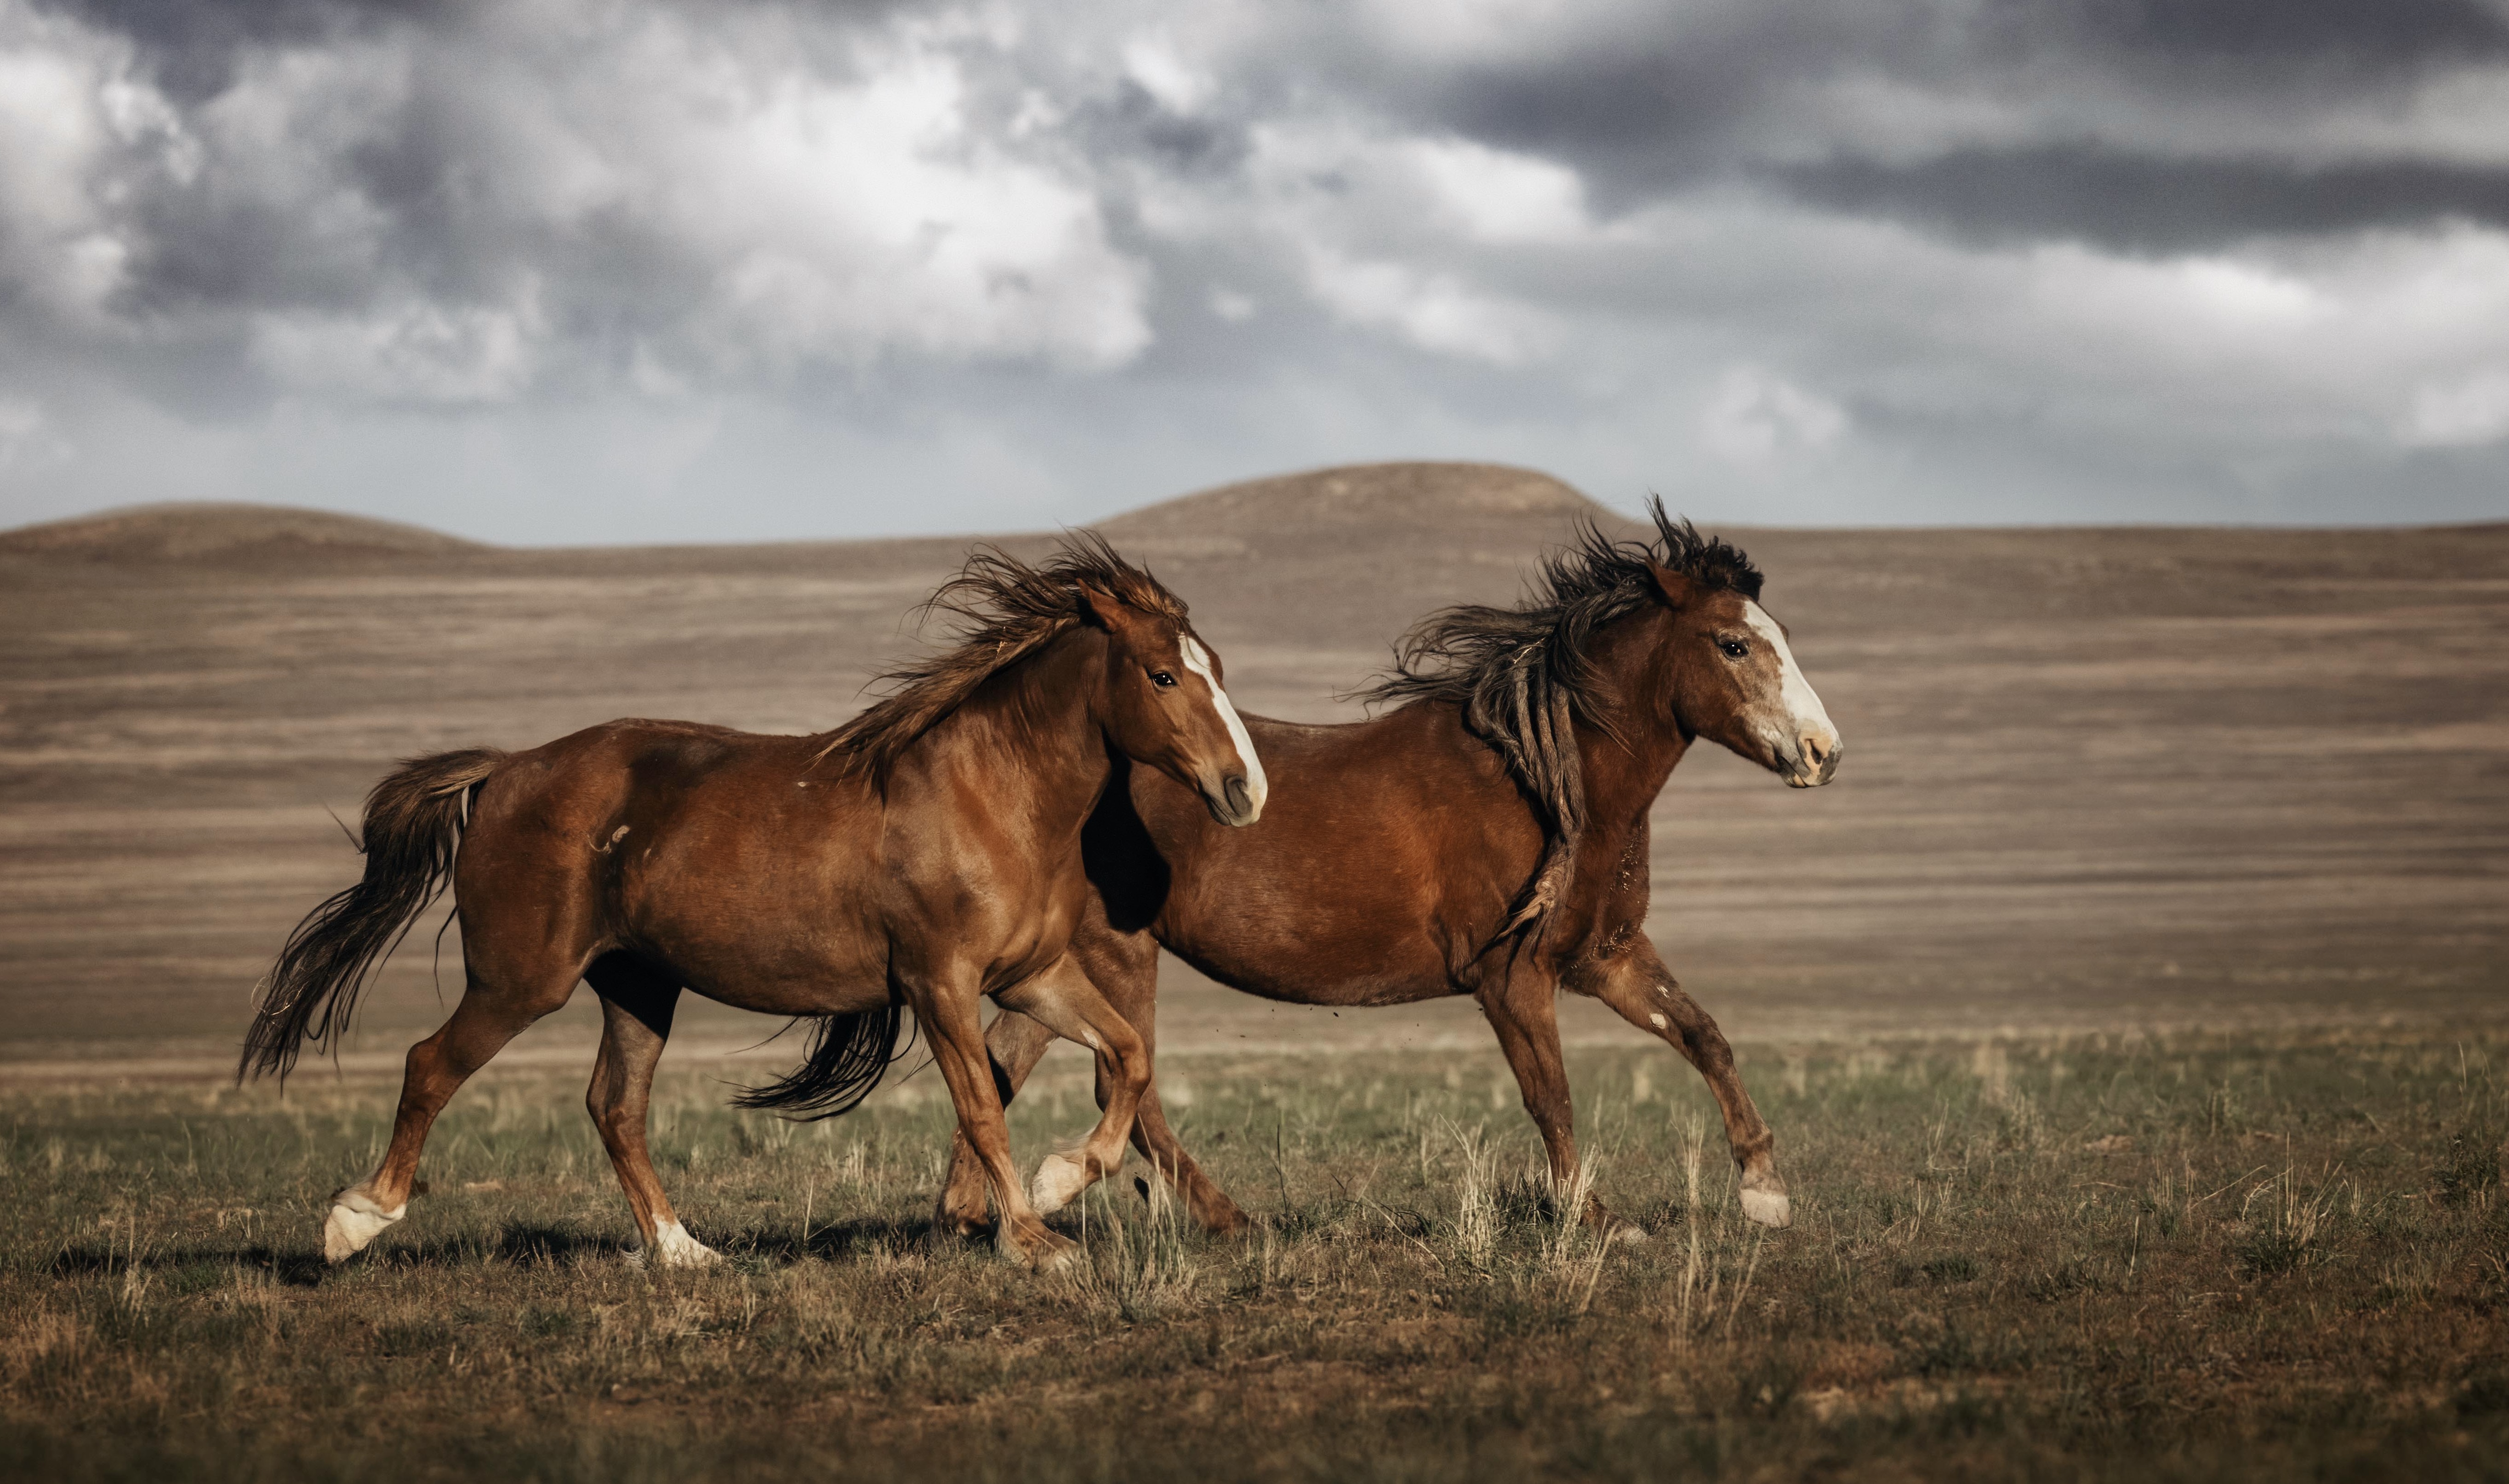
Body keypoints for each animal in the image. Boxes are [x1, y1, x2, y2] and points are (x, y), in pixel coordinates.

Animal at [238, 536, 1269, 1271]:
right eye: (1162, 675)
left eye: (1219, 666)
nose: (1244, 789)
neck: (990, 796)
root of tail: (504, 770)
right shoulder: (939, 982)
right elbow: (981, 1105)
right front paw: (1032, 1239)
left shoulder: (1029, 976)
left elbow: (1127, 1058)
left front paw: (1060, 1182)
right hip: (521, 978)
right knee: (430, 1064)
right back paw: (355, 1222)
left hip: (637, 983)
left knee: (614, 1106)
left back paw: (684, 1251)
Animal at [935, 504, 1839, 1238]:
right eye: (1733, 643)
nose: (1822, 752)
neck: (1546, 786)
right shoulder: (1509, 976)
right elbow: (1550, 1093)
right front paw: (1601, 1221)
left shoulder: (1604, 956)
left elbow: (1704, 1035)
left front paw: (1764, 1192)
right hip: (1118, 951)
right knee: (1122, 1081)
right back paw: (1188, 1213)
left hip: (1065, 960)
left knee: (1010, 1058)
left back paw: (977, 1212)